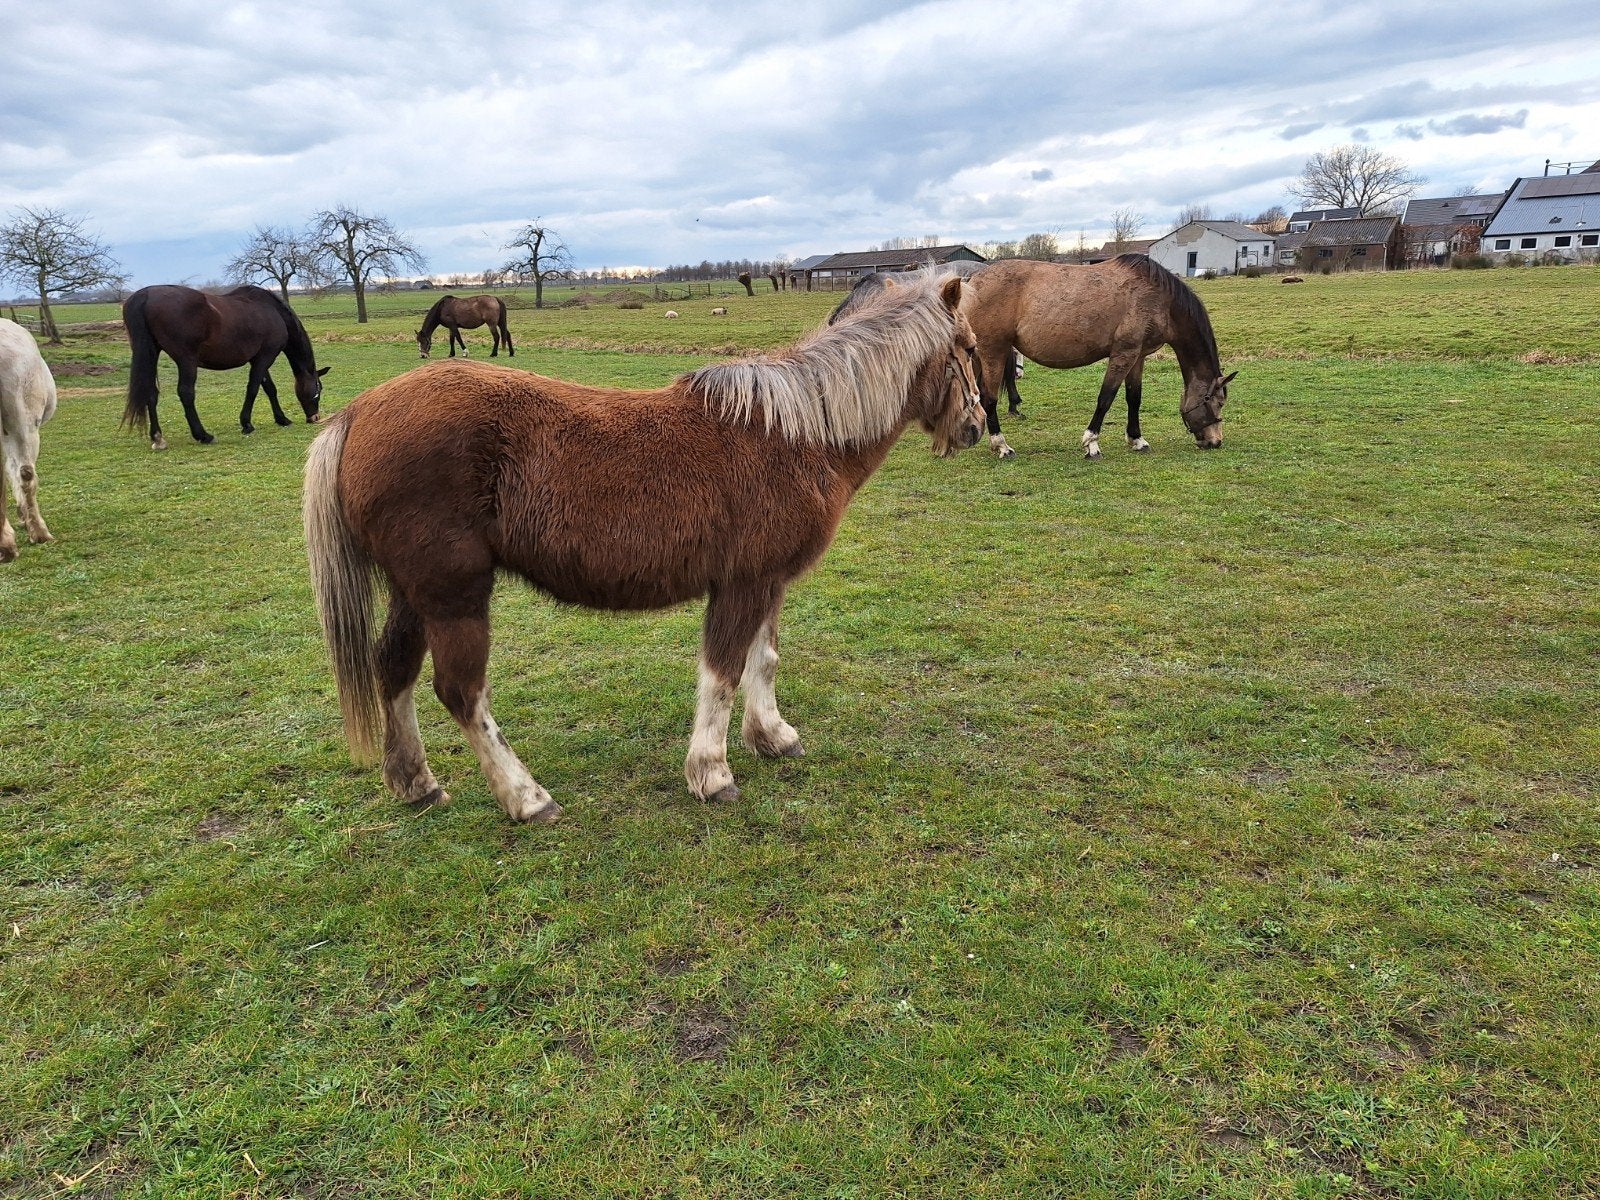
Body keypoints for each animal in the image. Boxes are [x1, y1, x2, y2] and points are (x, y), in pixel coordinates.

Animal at [122, 284, 328, 450]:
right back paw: (203, 435)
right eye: (318, 390)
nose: (315, 418)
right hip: (186, 360)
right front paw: (246, 424)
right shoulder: (265, 357)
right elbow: (253, 388)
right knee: (186, 393)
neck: (273, 312)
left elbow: (269, 388)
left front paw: (282, 419)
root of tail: (146, 295)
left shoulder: (257, 359)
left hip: (151, 354)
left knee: (151, 393)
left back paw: (158, 438)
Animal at [303, 274, 982, 824]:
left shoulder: (770, 580)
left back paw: (415, 783)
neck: (797, 434)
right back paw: (527, 797)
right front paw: (712, 773)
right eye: (970, 349)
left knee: (393, 670)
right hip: (454, 595)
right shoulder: (742, 583)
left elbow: (762, 661)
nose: (976, 428)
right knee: (462, 693)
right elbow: (723, 672)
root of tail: (358, 413)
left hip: (414, 594)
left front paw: (773, 737)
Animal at [960, 254, 1235, 459]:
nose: (1216, 441)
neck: (1160, 300)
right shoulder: (1123, 354)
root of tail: (972, 280)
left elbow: (1134, 398)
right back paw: (1001, 445)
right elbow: (1106, 398)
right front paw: (1092, 443)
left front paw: (1137, 439)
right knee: (989, 398)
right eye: (1219, 402)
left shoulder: (1138, 357)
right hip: (993, 352)